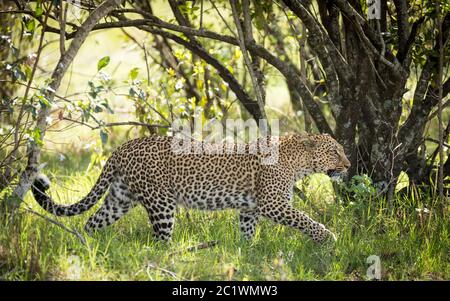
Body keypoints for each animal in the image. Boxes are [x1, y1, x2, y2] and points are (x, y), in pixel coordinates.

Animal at [32, 134, 352, 244]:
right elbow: (306, 220)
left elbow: (247, 231)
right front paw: (328, 237)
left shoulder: (250, 208)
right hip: (161, 203)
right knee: (160, 240)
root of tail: (122, 148)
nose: (349, 165)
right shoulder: (273, 204)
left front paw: (247, 252)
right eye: (334, 152)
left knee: (90, 222)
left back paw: (87, 248)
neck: (298, 161)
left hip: (120, 199)